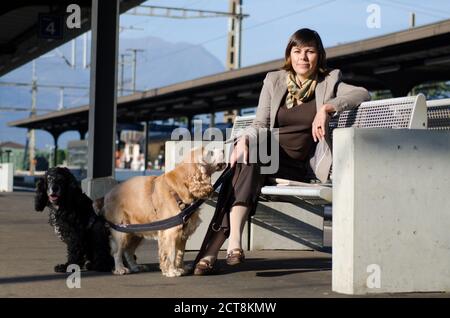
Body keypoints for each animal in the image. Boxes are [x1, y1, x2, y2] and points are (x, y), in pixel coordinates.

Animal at [99, 147, 225, 276]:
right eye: (210, 152)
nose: (224, 149)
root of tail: (107, 194)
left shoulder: (182, 234)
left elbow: (180, 254)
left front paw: (180, 268)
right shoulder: (170, 231)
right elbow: (171, 253)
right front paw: (171, 271)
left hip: (136, 232)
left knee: (128, 251)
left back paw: (135, 267)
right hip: (121, 231)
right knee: (117, 252)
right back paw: (120, 268)